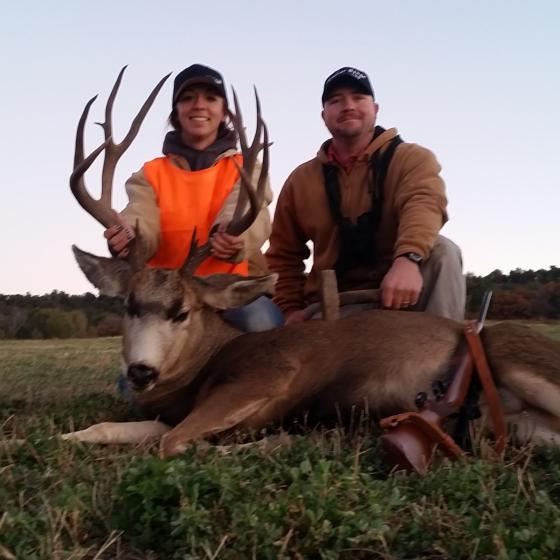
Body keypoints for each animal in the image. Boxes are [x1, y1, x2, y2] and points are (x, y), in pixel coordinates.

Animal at [63, 68, 560, 462]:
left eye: (182, 311)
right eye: (128, 304)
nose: (140, 372)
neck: (205, 365)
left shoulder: (266, 374)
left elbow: (175, 443)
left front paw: (284, 440)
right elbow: (103, 429)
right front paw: (67, 435)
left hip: (513, 355)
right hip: (523, 425)